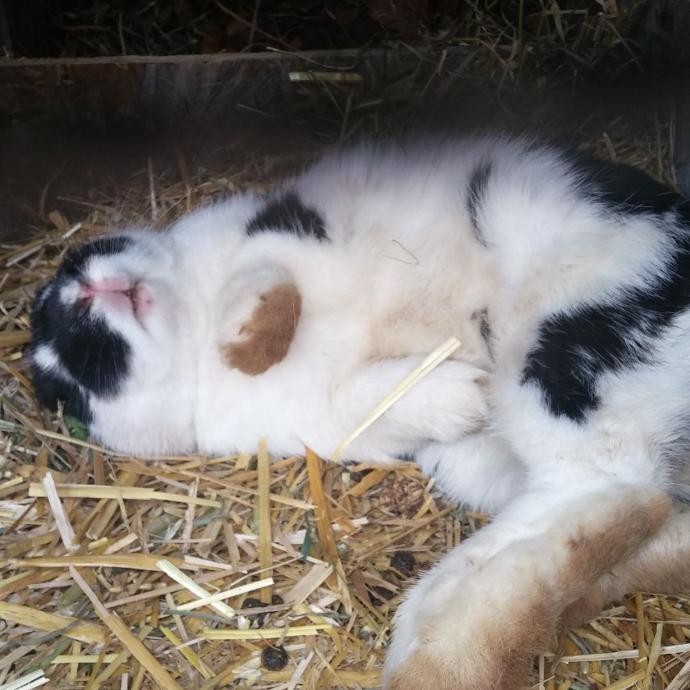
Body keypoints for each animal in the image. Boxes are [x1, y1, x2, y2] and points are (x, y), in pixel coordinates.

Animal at [29, 136, 690, 689]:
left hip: (566, 340)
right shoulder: (324, 413)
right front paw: (465, 396)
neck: (193, 317)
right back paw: (440, 644)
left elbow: (265, 280)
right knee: (622, 512)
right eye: (62, 381)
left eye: (69, 271)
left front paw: (248, 344)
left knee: (620, 493)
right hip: (491, 460)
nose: (78, 297)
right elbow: (375, 397)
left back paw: (432, 662)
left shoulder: (285, 227)